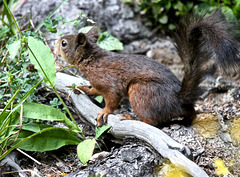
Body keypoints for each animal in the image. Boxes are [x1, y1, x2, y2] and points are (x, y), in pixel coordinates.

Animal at [54, 10, 240, 126]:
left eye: (64, 43)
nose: (54, 44)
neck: (92, 61)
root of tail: (179, 99)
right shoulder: (98, 84)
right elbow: (94, 90)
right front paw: (82, 87)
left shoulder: (109, 82)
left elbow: (112, 99)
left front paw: (105, 112)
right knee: (190, 114)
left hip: (140, 91)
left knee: (153, 122)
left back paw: (132, 118)